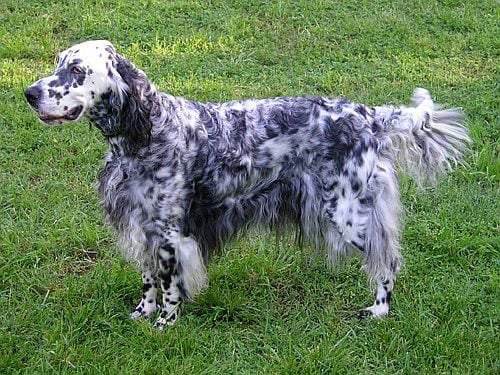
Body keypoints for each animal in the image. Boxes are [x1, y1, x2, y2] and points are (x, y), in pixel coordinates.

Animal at [24, 40, 468, 328]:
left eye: (77, 70)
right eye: (58, 62)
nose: (29, 93)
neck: (147, 131)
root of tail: (368, 114)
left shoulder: (170, 235)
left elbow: (170, 286)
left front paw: (164, 324)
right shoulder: (142, 226)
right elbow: (149, 280)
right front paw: (142, 313)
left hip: (348, 214)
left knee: (387, 261)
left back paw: (379, 311)